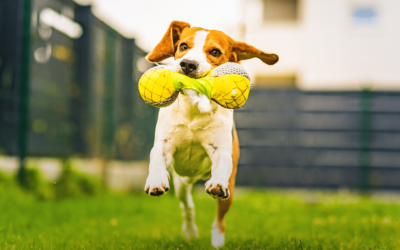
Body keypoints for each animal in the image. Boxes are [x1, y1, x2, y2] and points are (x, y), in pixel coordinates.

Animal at [144, 20, 278, 247]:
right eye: (183, 46)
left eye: (215, 52)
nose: (187, 64)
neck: (194, 107)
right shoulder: (164, 143)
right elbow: (157, 158)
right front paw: (155, 180)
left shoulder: (221, 149)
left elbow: (222, 162)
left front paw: (217, 185)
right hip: (181, 183)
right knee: (187, 206)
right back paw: (190, 232)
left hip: (229, 190)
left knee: (220, 217)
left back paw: (217, 240)